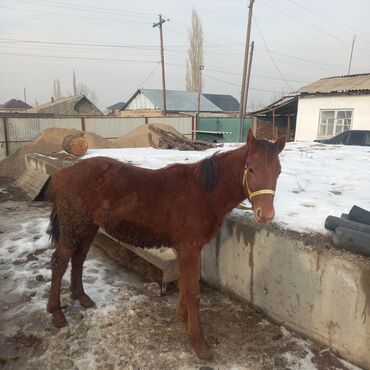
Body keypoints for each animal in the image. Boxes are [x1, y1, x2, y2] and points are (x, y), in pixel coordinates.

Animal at [45, 129, 284, 358]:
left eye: (278, 172)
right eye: (250, 169)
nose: (265, 215)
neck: (203, 192)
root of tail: (62, 173)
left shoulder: (189, 249)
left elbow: (185, 284)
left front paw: (183, 316)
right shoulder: (188, 249)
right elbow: (193, 291)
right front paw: (198, 341)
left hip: (88, 226)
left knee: (79, 258)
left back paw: (82, 297)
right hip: (73, 225)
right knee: (59, 262)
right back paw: (56, 313)